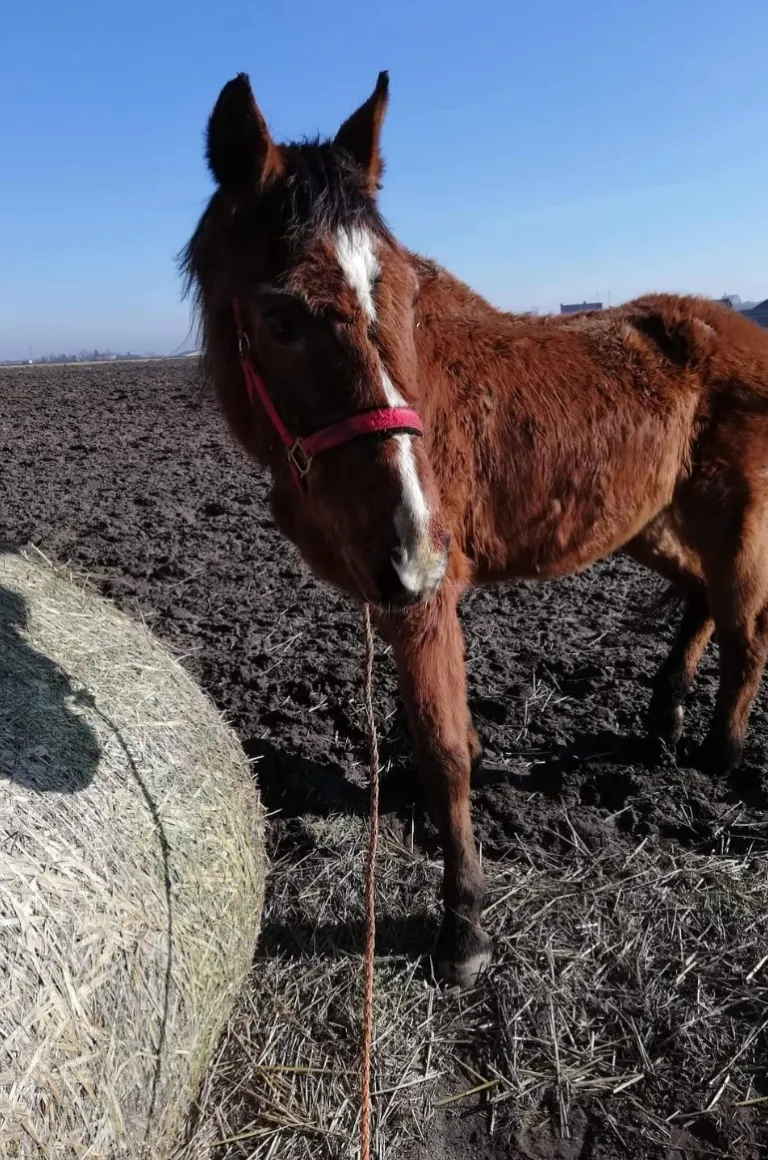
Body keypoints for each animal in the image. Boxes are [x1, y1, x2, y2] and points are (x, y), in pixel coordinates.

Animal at [182, 67, 768, 988]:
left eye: (405, 296)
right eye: (280, 320)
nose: (416, 544)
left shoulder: (427, 597)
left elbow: (443, 749)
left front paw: (463, 925)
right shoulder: (388, 586)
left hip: (734, 516)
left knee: (746, 629)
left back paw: (721, 751)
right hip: (646, 521)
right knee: (701, 596)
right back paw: (666, 716)